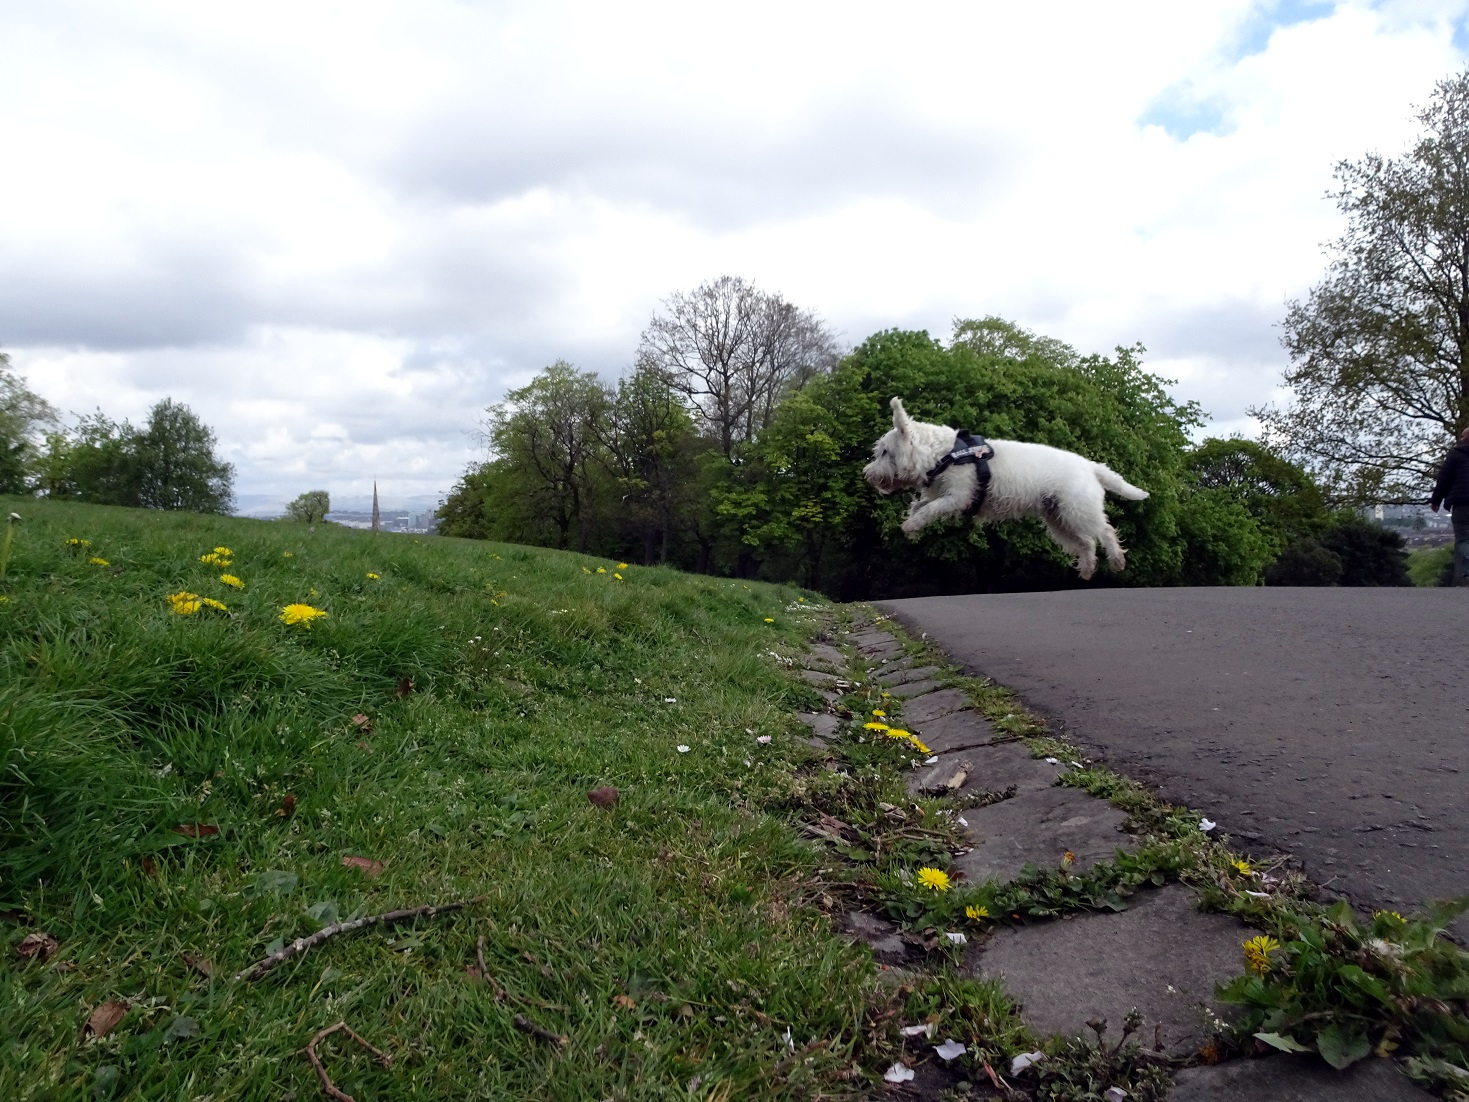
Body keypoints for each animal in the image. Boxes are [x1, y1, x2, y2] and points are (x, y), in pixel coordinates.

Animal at [857, 402, 1145, 581]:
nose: (867, 474)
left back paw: (1117, 560)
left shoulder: (958, 497)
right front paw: (912, 524)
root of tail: (1090, 466)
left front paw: (912, 525)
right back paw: (1086, 569)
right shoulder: (942, 494)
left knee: (1105, 531)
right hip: (1058, 519)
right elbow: (921, 505)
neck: (944, 454)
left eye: (885, 452)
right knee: (1086, 543)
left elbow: (930, 509)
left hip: (1078, 511)